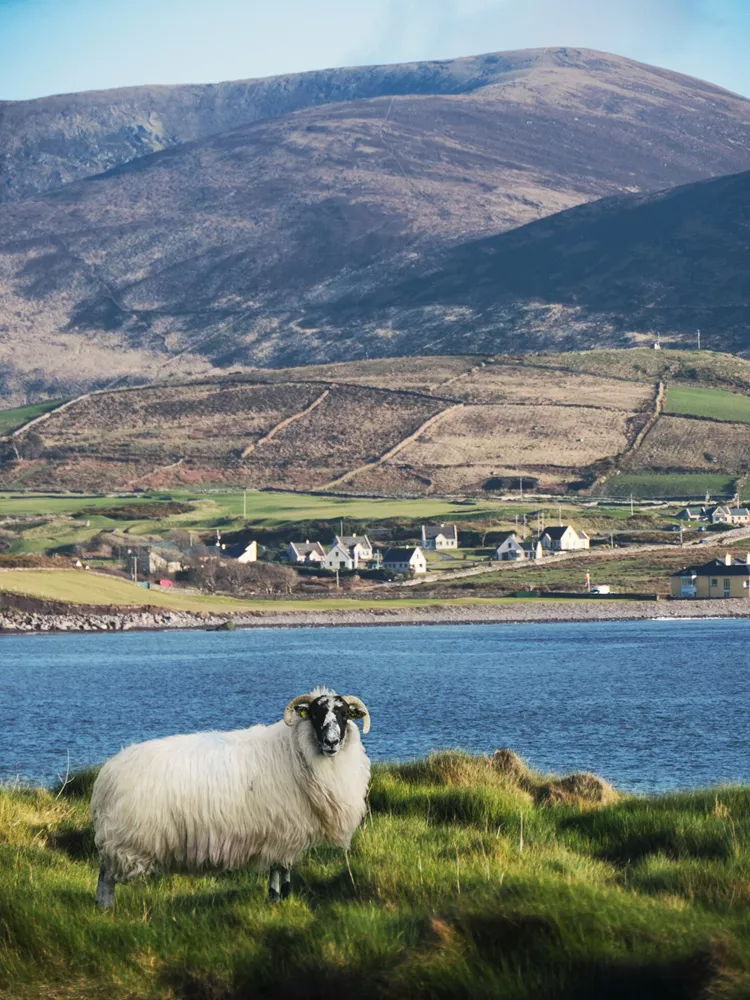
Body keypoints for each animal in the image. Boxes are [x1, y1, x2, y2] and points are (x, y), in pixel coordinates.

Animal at [89, 688, 372, 908]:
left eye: (344, 714)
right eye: (315, 714)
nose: (331, 742)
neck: (296, 751)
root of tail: (107, 773)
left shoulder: (287, 830)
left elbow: (284, 868)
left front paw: (284, 896)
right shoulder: (282, 829)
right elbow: (278, 868)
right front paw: (275, 898)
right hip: (123, 839)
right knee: (106, 877)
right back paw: (106, 909)